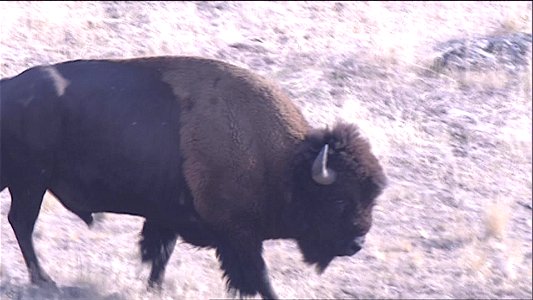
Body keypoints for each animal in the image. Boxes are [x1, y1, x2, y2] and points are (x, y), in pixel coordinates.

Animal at [2, 55, 388, 298]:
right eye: (339, 199)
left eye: (371, 197)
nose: (356, 244)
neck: (281, 163)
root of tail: (9, 89)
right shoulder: (240, 236)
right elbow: (258, 277)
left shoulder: (167, 217)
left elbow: (160, 254)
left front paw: (155, 288)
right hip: (31, 183)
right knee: (22, 222)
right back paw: (44, 280)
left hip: (25, 183)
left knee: (20, 223)